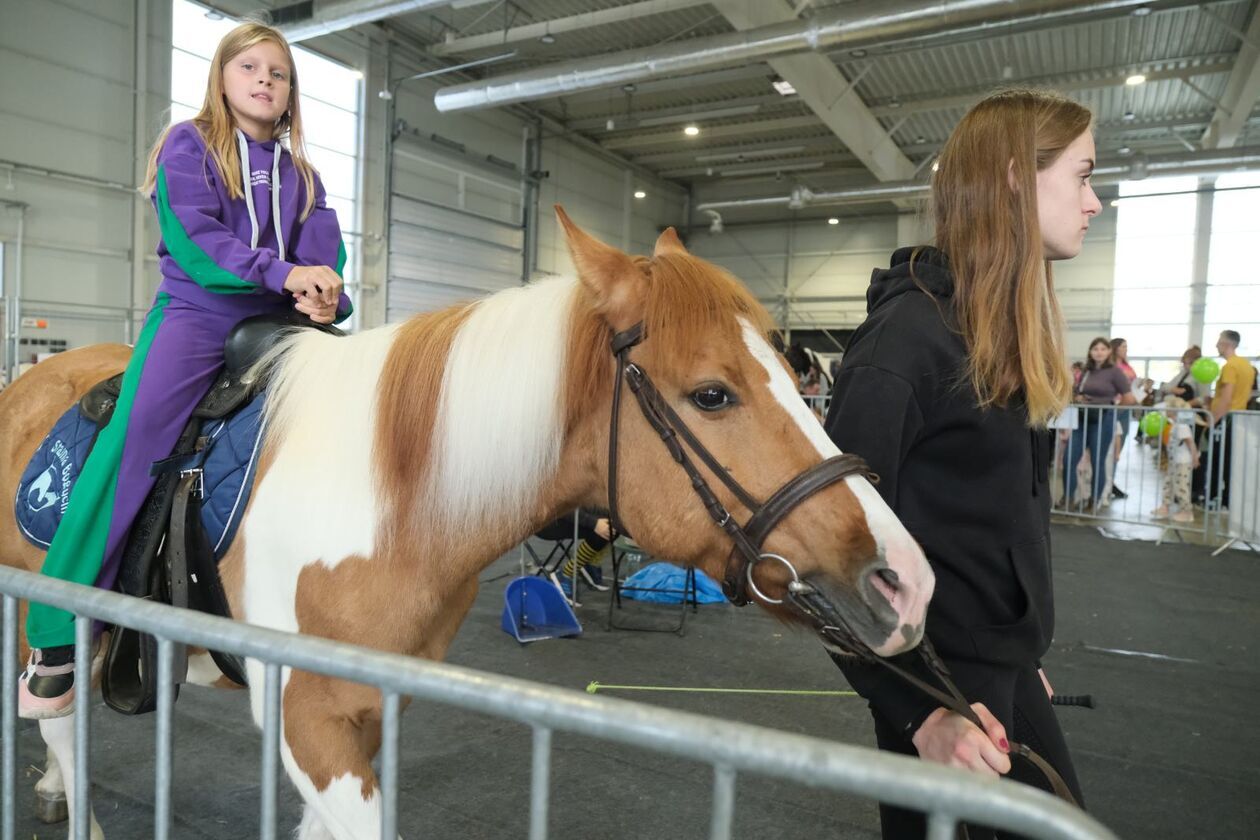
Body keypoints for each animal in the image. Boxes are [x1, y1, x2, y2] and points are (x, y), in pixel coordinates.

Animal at [0, 206, 932, 836]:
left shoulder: (376, 710)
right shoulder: (306, 718)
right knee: (58, 707)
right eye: (711, 394)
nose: (906, 582)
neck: (386, 496)